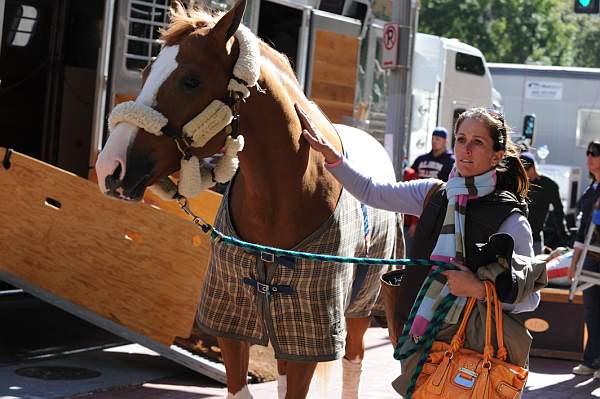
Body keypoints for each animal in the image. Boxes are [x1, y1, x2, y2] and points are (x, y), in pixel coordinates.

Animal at [96, 1, 400, 398]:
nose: (110, 166)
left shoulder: (310, 327)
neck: (280, 198)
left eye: (191, 80)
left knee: (354, 361)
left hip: (362, 300)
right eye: (145, 71)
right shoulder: (233, 319)